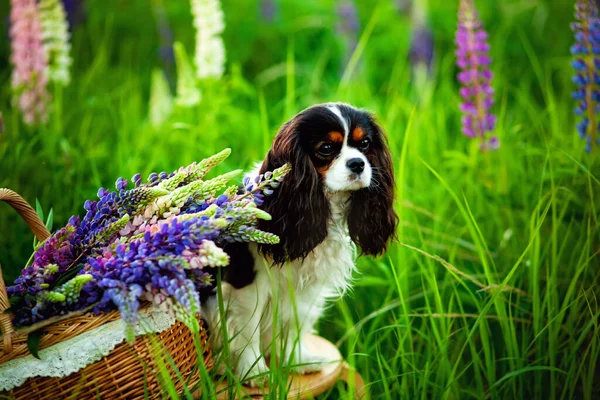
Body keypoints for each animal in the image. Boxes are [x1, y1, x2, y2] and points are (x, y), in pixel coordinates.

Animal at [203, 101, 398, 386]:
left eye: (364, 144)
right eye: (326, 148)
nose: (358, 164)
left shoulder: (304, 289)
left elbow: (294, 323)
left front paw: (297, 361)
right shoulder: (247, 287)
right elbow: (248, 330)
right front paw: (254, 371)